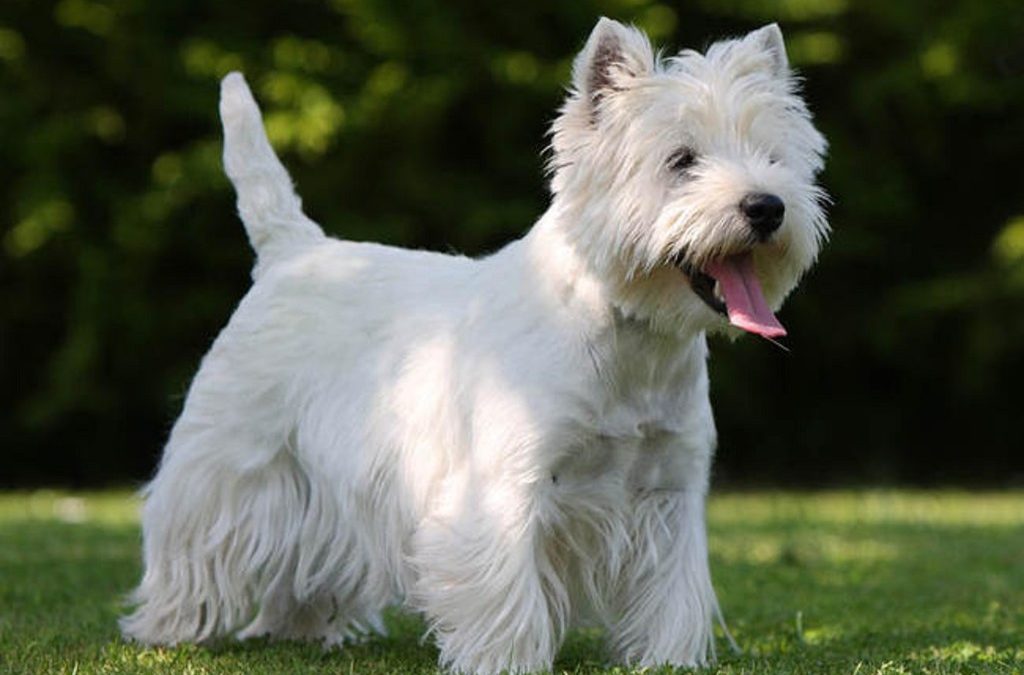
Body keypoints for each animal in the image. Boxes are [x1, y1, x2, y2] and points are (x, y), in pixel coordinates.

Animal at [119, 17, 827, 675]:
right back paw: (171, 627)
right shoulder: (503, 487)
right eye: (681, 160)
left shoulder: (669, 491)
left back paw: (301, 629)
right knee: (194, 535)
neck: (631, 342)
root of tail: (293, 250)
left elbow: (669, 596)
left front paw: (666, 660)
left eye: (772, 158)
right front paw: (508, 660)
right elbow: (506, 591)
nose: (766, 207)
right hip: (233, 453)